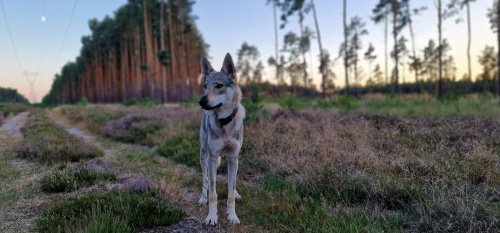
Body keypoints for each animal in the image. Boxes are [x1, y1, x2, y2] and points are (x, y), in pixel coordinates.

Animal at [199, 53, 246, 225]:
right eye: (205, 86)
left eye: (219, 85)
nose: (202, 101)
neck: (224, 122)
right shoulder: (212, 158)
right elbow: (213, 194)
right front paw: (212, 217)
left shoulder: (233, 158)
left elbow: (230, 192)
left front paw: (232, 216)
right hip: (204, 156)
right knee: (205, 179)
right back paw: (202, 198)